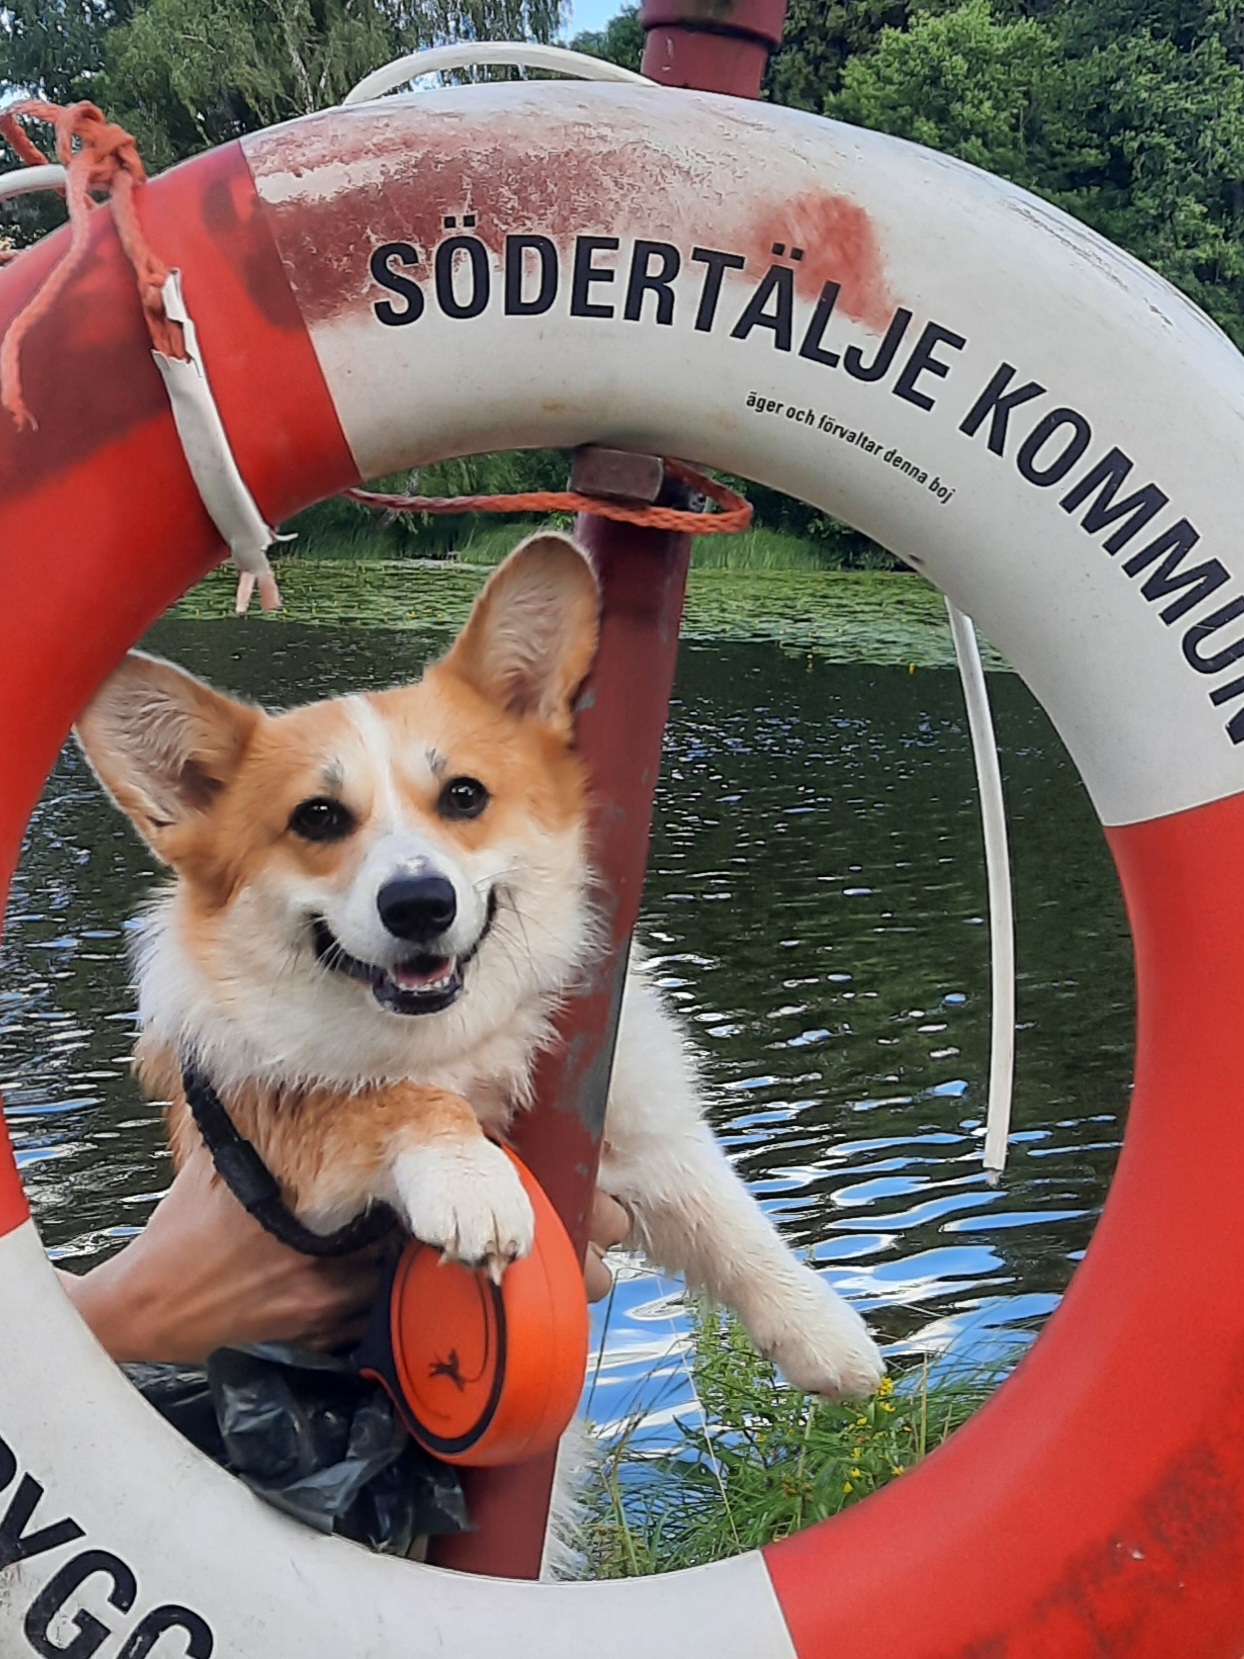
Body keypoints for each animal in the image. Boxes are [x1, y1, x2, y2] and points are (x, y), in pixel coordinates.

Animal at [75, 532, 884, 1402]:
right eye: (316, 817)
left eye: (464, 795)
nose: (419, 904)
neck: (458, 1035)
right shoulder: (267, 1139)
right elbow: (383, 1097)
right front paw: (472, 1178)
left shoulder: (644, 1130)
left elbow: (727, 1212)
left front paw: (826, 1333)